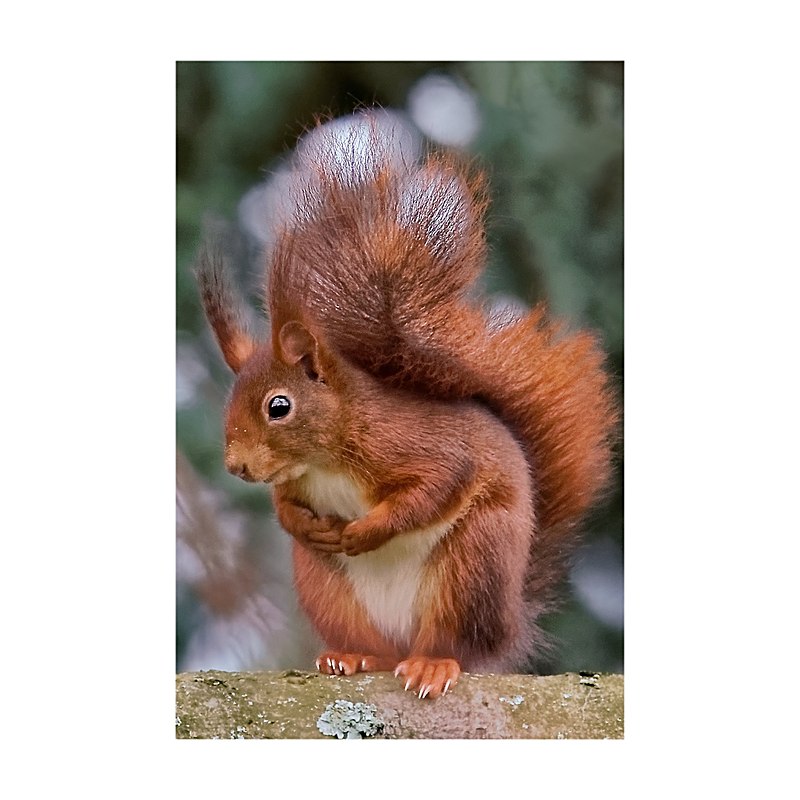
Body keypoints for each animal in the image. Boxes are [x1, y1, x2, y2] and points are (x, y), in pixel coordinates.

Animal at [197, 112, 618, 700]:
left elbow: (432, 489)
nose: (236, 466)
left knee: (452, 643)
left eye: (278, 407)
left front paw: (364, 531)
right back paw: (352, 656)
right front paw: (306, 524)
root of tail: (508, 628)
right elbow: (285, 508)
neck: (326, 457)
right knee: (374, 644)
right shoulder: (296, 483)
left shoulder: (416, 446)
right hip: (327, 588)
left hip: (474, 565)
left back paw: (432, 664)